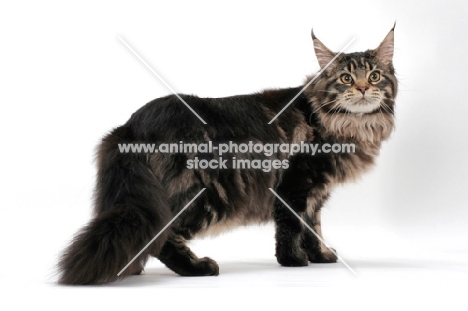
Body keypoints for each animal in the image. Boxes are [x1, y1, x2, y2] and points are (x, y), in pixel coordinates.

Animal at [56, 26, 396, 286]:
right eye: (346, 79)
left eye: (375, 76)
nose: (363, 88)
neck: (350, 126)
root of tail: (132, 124)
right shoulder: (295, 184)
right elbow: (292, 227)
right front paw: (294, 261)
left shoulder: (316, 192)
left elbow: (313, 227)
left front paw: (321, 256)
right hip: (207, 194)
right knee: (162, 236)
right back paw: (198, 267)